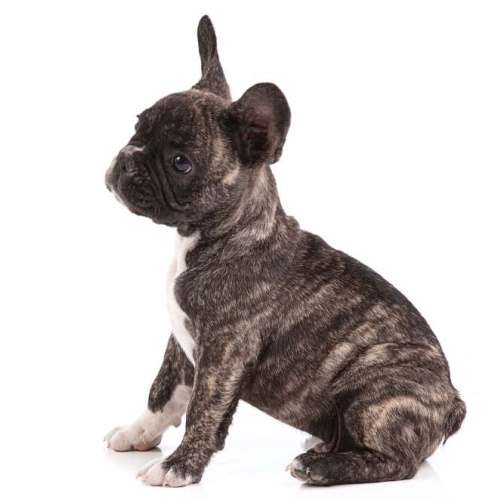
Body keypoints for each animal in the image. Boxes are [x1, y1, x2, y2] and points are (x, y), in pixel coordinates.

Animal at [103, 15, 466, 488]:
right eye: (137, 127)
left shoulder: (224, 351)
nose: (127, 157)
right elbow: (163, 393)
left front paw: (178, 466)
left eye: (181, 162)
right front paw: (137, 433)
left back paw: (320, 466)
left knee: (399, 461)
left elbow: (203, 409)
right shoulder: (181, 343)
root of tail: (452, 404)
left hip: (375, 382)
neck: (225, 234)